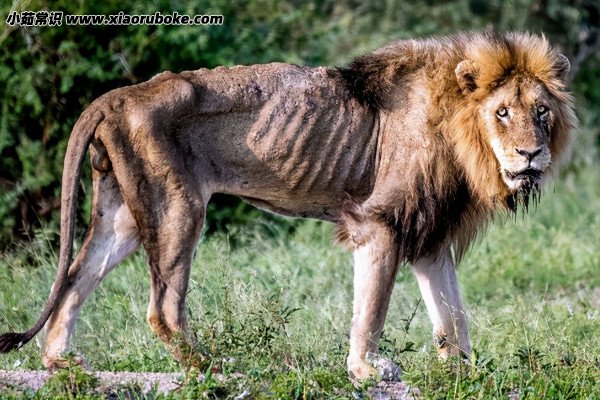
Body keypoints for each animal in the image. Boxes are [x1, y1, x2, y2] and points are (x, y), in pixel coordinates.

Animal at [2, 31, 580, 382]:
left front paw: (464, 374)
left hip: (121, 214)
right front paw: (366, 369)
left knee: (75, 280)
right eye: (502, 112)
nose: (531, 154)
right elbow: (371, 308)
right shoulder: (380, 222)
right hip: (178, 207)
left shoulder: (430, 234)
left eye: (542, 112)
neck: (461, 133)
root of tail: (115, 96)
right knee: (162, 307)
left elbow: (452, 314)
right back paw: (215, 367)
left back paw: (63, 363)